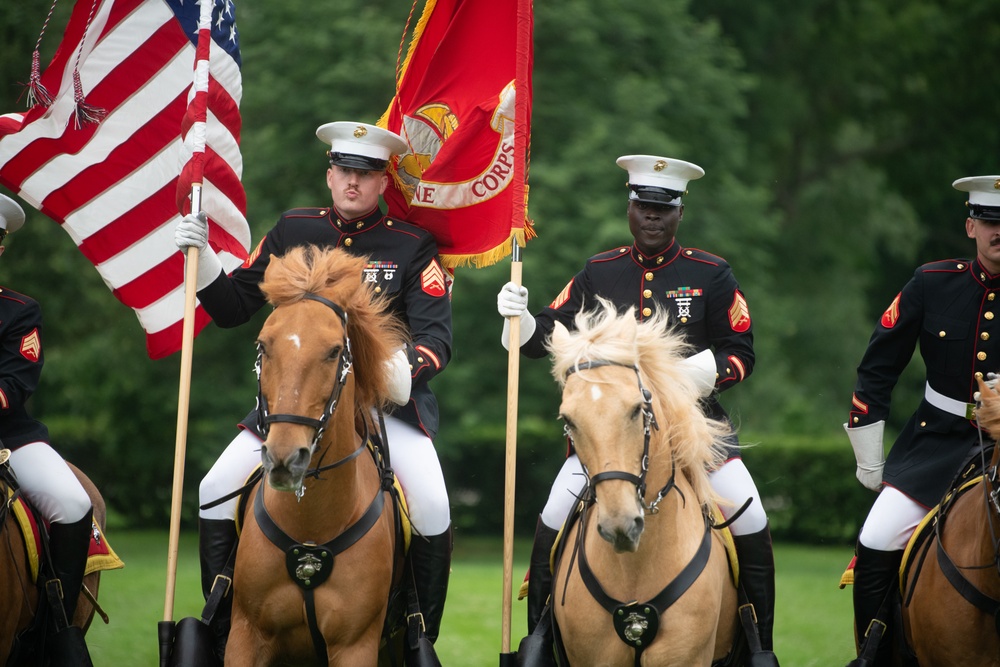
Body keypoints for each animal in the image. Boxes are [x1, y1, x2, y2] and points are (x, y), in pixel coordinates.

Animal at [229, 248, 408, 664]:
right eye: (263, 346)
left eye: (334, 351)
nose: (284, 457)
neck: (311, 529)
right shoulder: (246, 633)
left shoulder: (355, 645)